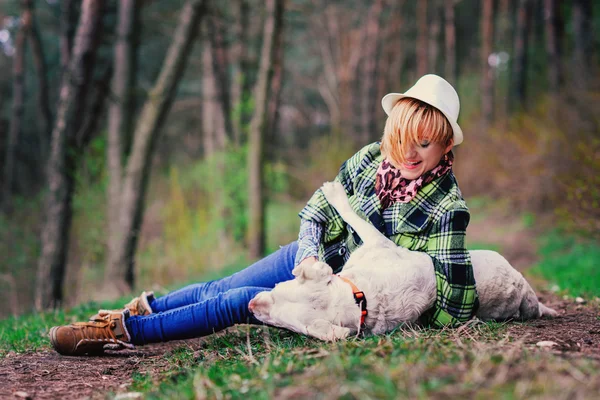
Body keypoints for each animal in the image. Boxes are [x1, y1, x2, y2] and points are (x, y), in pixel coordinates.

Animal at [248, 181, 556, 340]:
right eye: (278, 291)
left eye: (280, 321)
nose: (251, 305)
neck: (360, 298)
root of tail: (525, 295)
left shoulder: (379, 242)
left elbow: (354, 216)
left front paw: (335, 192)